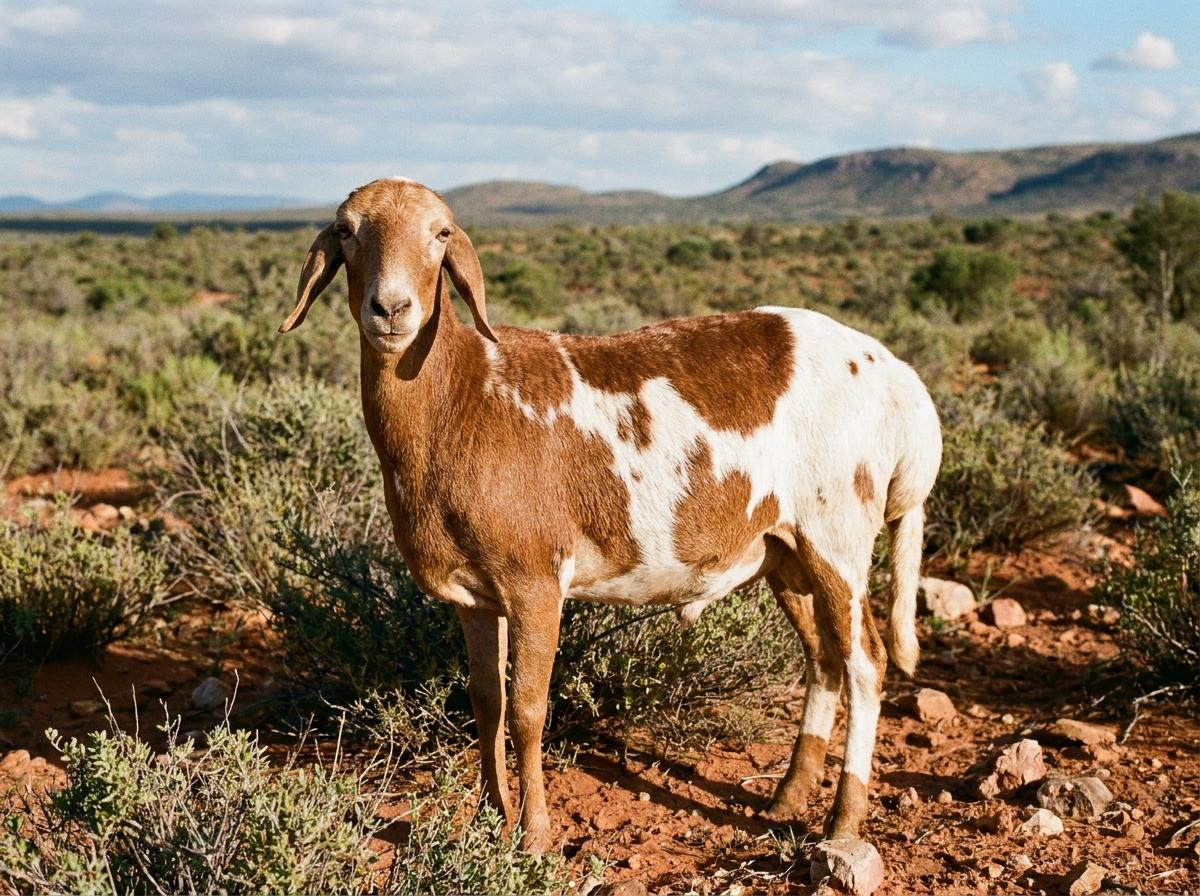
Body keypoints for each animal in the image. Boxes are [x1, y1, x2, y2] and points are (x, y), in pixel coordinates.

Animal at [279, 177, 943, 854]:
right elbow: (487, 704)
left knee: (865, 663)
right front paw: (491, 822)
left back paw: (843, 821)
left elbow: (528, 709)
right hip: (784, 548)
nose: (391, 310)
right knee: (822, 661)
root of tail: (898, 377)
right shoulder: (474, 596)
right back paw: (787, 799)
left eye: (440, 234)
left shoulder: (535, 581)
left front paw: (534, 836)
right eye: (346, 231)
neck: (462, 396)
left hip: (838, 535)